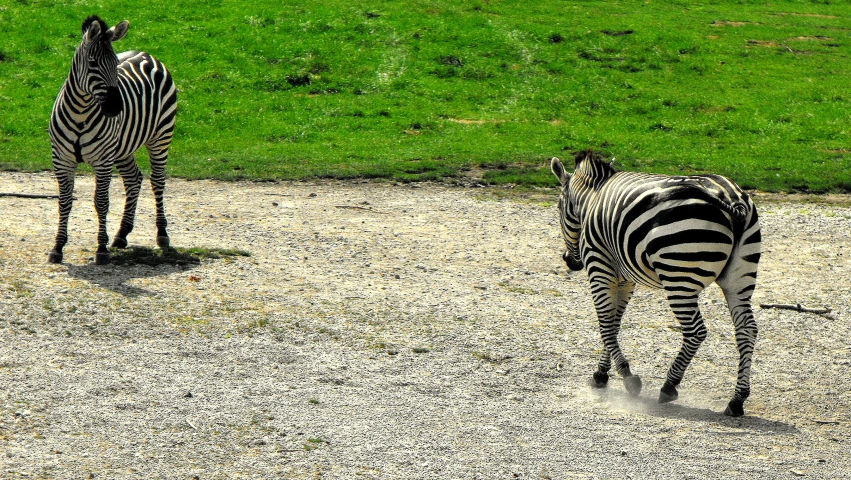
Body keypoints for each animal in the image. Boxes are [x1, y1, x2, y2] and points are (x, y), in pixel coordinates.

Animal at [47, 15, 177, 264]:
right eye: (92, 63)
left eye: (115, 63)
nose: (116, 107)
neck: (81, 113)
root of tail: (146, 54)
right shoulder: (62, 160)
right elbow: (64, 202)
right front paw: (57, 247)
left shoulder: (102, 161)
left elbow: (101, 202)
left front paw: (101, 249)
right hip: (123, 147)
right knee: (134, 179)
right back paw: (121, 234)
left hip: (161, 136)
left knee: (157, 181)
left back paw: (162, 234)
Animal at [552, 151, 764, 416]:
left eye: (558, 207)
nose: (569, 261)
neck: (592, 199)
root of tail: (730, 199)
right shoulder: (625, 279)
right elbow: (615, 323)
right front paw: (601, 373)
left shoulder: (599, 266)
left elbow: (605, 324)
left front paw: (627, 377)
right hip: (739, 278)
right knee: (747, 329)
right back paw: (736, 400)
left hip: (680, 278)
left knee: (696, 331)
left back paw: (669, 386)